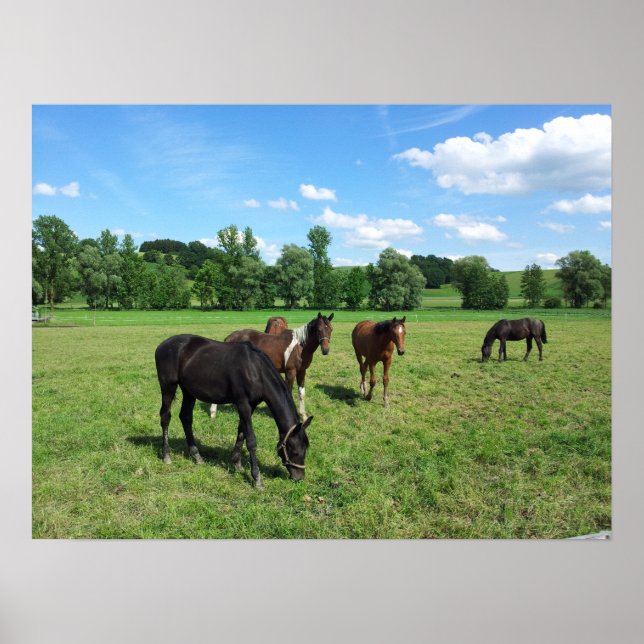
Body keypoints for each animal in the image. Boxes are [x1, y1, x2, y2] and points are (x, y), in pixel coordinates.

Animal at [155, 334, 312, 488]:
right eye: (295, 451)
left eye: (306, 449)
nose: (299, 477)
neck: (255, 370)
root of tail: (162, 345)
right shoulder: (243, 404)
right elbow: (251, 440)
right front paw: (257, 478)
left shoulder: (251, 405)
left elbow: (241, 432)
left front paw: (237, 463)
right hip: (168, 387)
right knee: (165, 417)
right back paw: (166, 455)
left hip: (189, 392)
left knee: (186, 417)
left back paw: (197, 456)